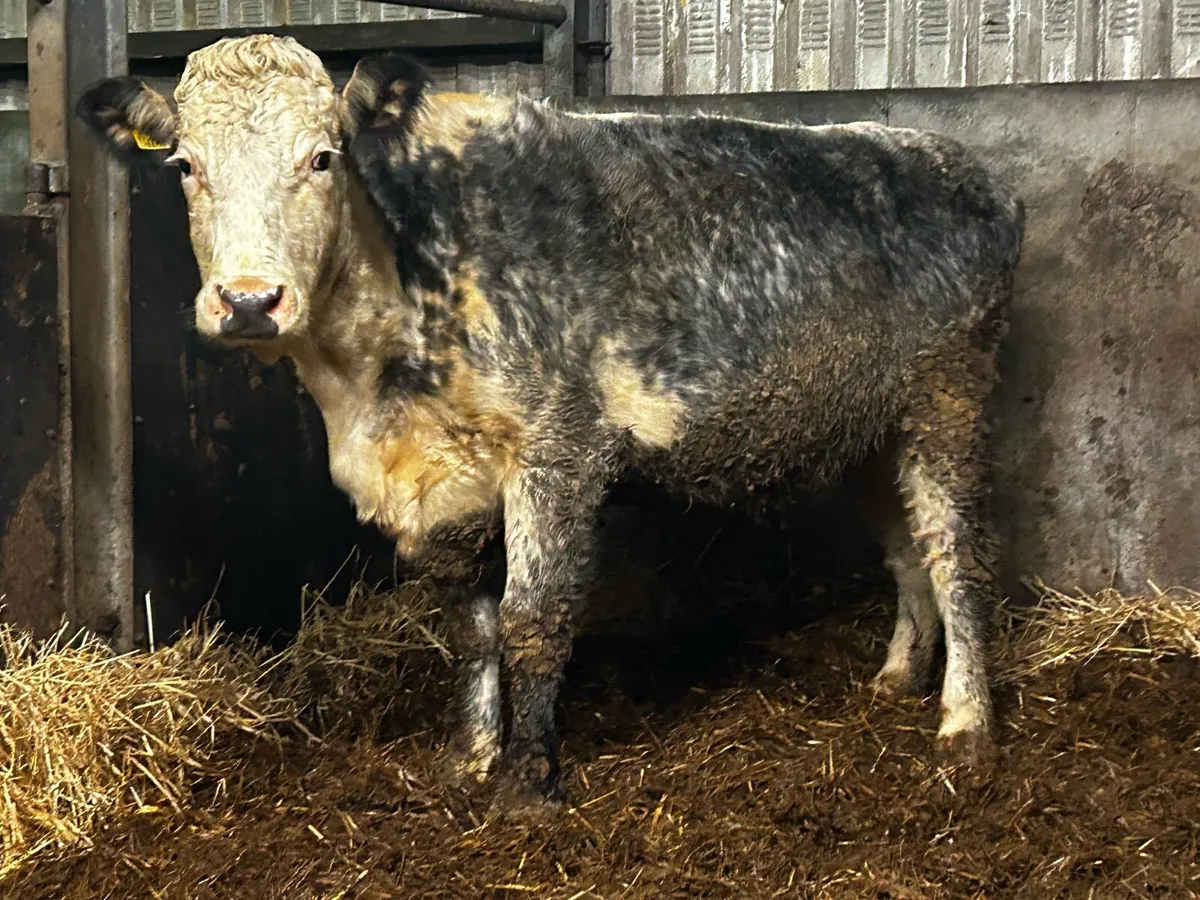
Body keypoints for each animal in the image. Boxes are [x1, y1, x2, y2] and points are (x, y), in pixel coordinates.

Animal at [77, 34, 1025, 818]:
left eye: (322, 158)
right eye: (186, 166)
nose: (248, 301)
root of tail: (950, 159)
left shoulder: (558, 448)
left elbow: (532, 620)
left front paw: (528, 785)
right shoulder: (443, 482)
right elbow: (472, 626)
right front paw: (469, 759)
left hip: (952, 395)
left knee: (958, 555)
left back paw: (966, 728)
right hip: (870, 427)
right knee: (907, 550)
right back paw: (898, 676)